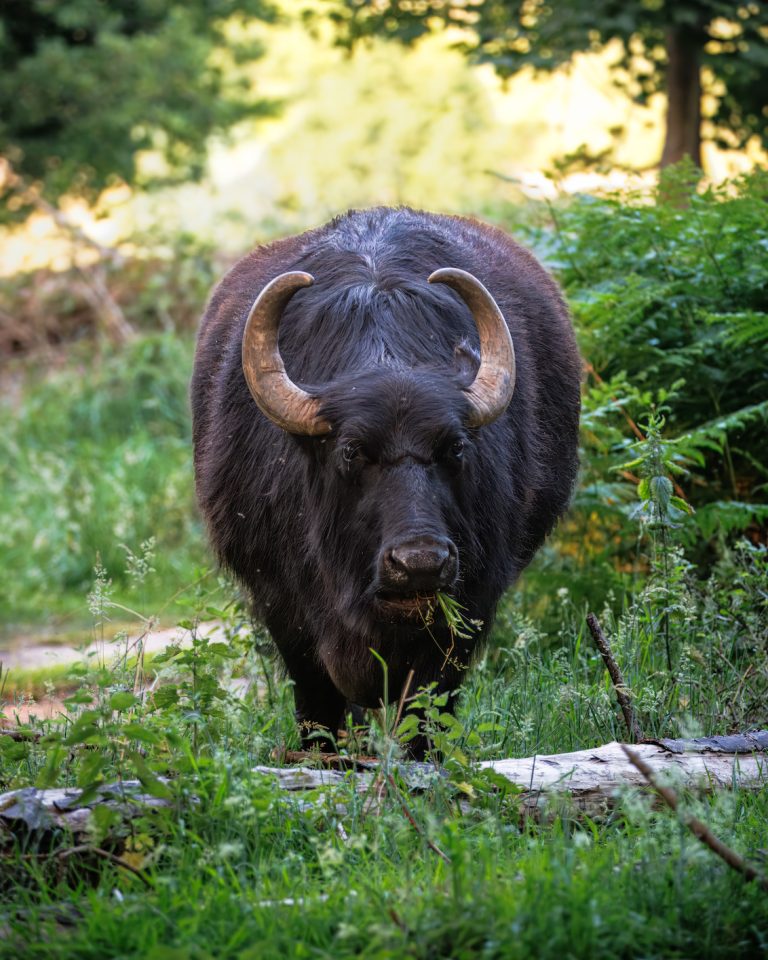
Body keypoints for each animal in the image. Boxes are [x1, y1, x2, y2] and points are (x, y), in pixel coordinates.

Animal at [191, 207, 580, 754]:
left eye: (455, 447)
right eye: (352, 451)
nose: (419, 563)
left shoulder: (469, 603)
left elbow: (426, 705)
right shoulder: (280, 603)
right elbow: (317, 702)